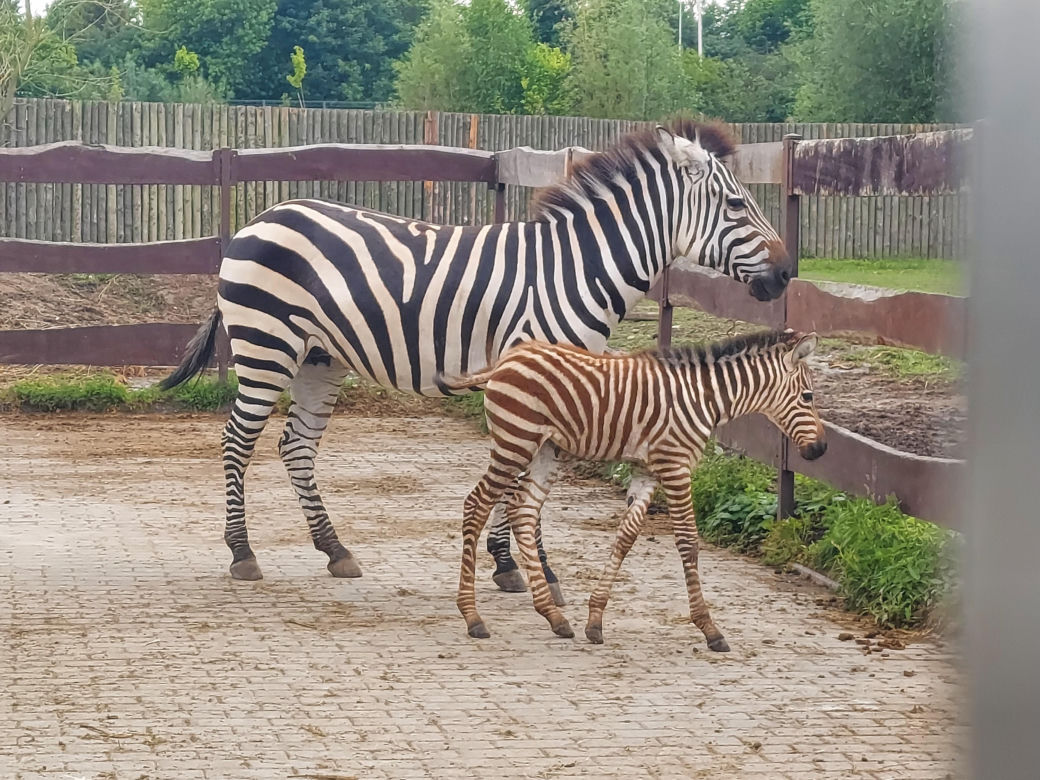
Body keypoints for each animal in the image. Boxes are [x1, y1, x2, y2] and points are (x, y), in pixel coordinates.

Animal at [159, 119, 792, 586]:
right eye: (736, 205)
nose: (788, 274)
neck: (575, 269)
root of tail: (259, 219)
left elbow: (535, 479)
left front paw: (529, 565)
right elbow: (519, 480)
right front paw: (515, 565)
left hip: (319, 358)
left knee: (296, 447)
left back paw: (334, 548)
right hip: (267, 346)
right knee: (237, 442)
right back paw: (242, 553)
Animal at [444, 330, 826, 651]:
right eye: (808, 397)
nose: (820, 450)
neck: (703, 399)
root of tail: (506, 359)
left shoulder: (649, 471)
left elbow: (626, 537)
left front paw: (595, 619)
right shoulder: (675, 466)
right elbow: (688, 541)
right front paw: (709, 628)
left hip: (544, 450)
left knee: (523, 511)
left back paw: (554, 616)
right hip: (515, 442)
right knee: (476, 505)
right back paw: (472, 616)